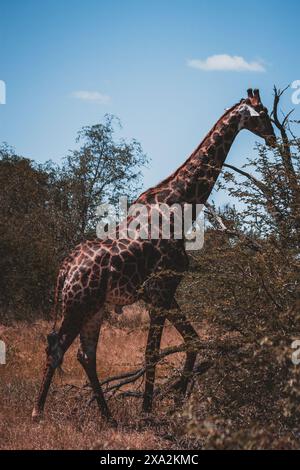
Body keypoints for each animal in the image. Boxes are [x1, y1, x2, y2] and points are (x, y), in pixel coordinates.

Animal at [31, 89, 276, 426]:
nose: (274, 138)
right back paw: (38, 412)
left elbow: (192, 340)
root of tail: (65, 269)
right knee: (56, 347)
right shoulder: (159, 290)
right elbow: (152, 351)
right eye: (262, 112)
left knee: (85, 354)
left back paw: (109, 417)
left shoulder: (165, 291)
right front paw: (148, 411)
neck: (181, 205)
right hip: (77, 305)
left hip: (94, 308)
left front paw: (176, 403)